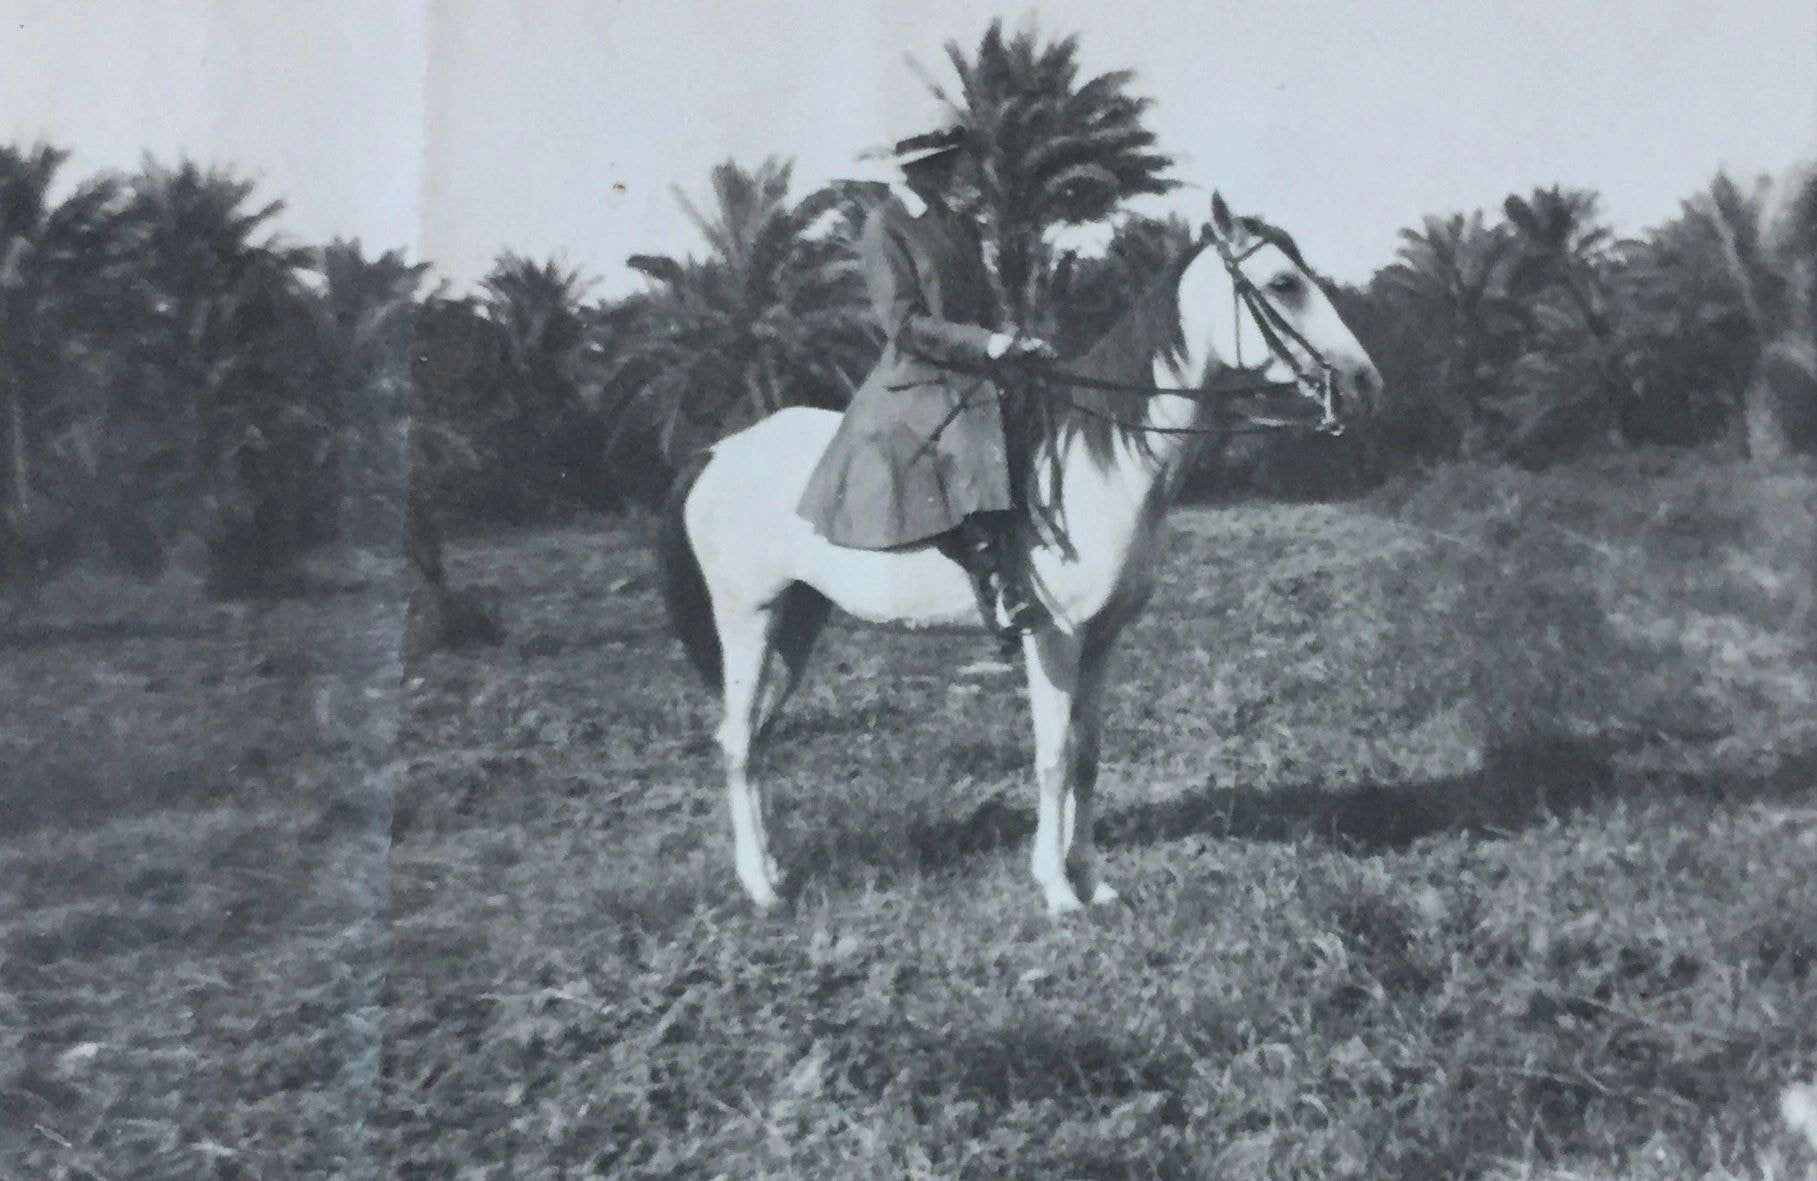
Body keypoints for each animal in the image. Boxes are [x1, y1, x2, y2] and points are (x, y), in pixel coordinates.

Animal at [657, 192, 1382, 915]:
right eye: (1283, 284)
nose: (1363, 381)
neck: (1099, 461)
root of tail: (718, 451)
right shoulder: (1054, 635)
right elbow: (1053, 756)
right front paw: (1057, 889)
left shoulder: (1104, 637)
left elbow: (1087, 754)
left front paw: (1091, 878)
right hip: (748, 620)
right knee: (738, 743)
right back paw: (759, 887)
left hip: (795, 624)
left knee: (754, 736)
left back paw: (774, 870)